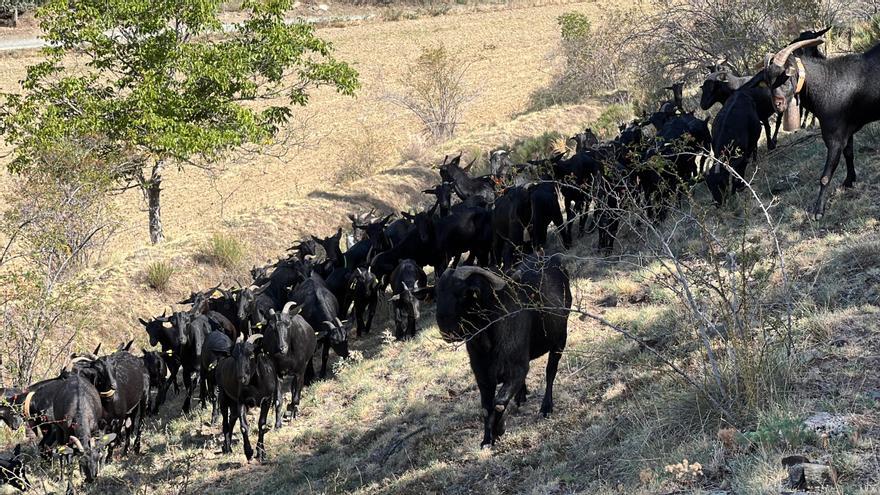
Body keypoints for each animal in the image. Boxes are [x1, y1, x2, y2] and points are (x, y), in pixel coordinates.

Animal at [432, 260, 572, 450]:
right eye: (438, 293)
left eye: (463, 294)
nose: (446, 330)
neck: (488, 343)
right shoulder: (482, 376)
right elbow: (486, 407)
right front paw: (486, 439)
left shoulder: (517, 369)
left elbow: (498, 402)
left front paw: (500, 429)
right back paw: (521, 396)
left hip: (559, 340)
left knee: (550, 372)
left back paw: (546, 407)